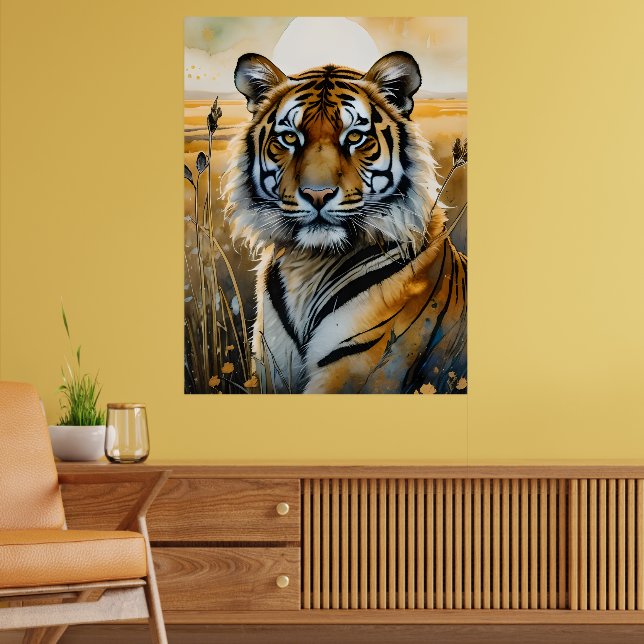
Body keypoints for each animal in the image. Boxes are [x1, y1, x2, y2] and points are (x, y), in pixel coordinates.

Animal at [223, 51, 467, 394]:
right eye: (289, 137)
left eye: (354, 137)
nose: (317, 194)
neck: (308, 267)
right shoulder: (271, 364)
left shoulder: (358, 367)